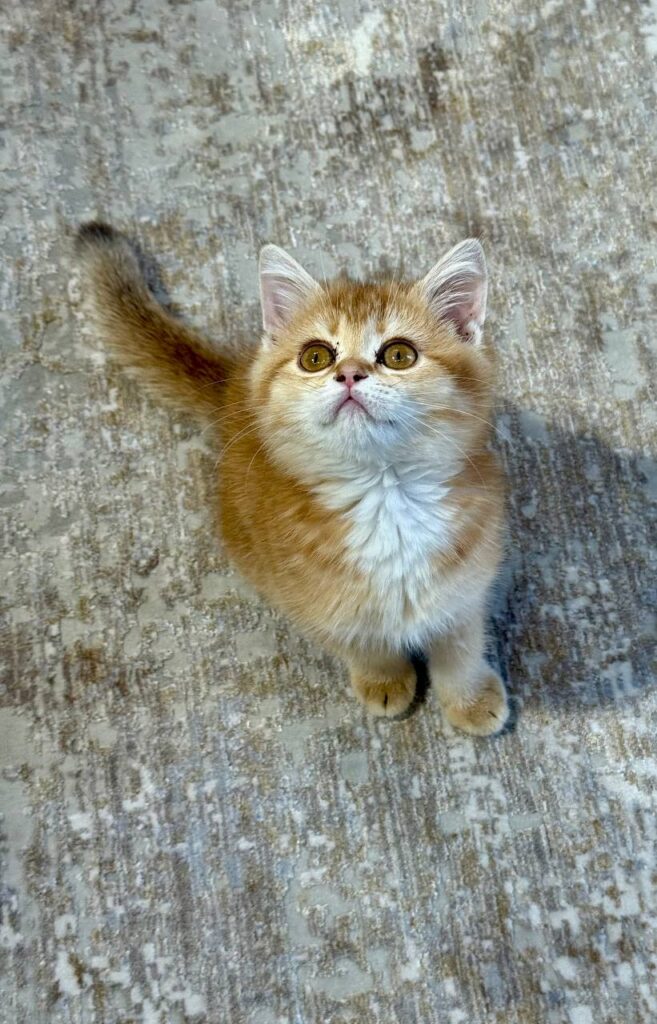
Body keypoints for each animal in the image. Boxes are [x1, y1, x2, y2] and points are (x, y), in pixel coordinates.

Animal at [76, 222, 509, 735]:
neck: (384, 497)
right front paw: (383, 679)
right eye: (316, 357)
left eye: (400, 355)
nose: (349, 374)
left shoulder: (466, 587)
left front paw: (469, 697)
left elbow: (460, 646)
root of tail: (234, 389)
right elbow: (361, 643)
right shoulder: (311, 601)